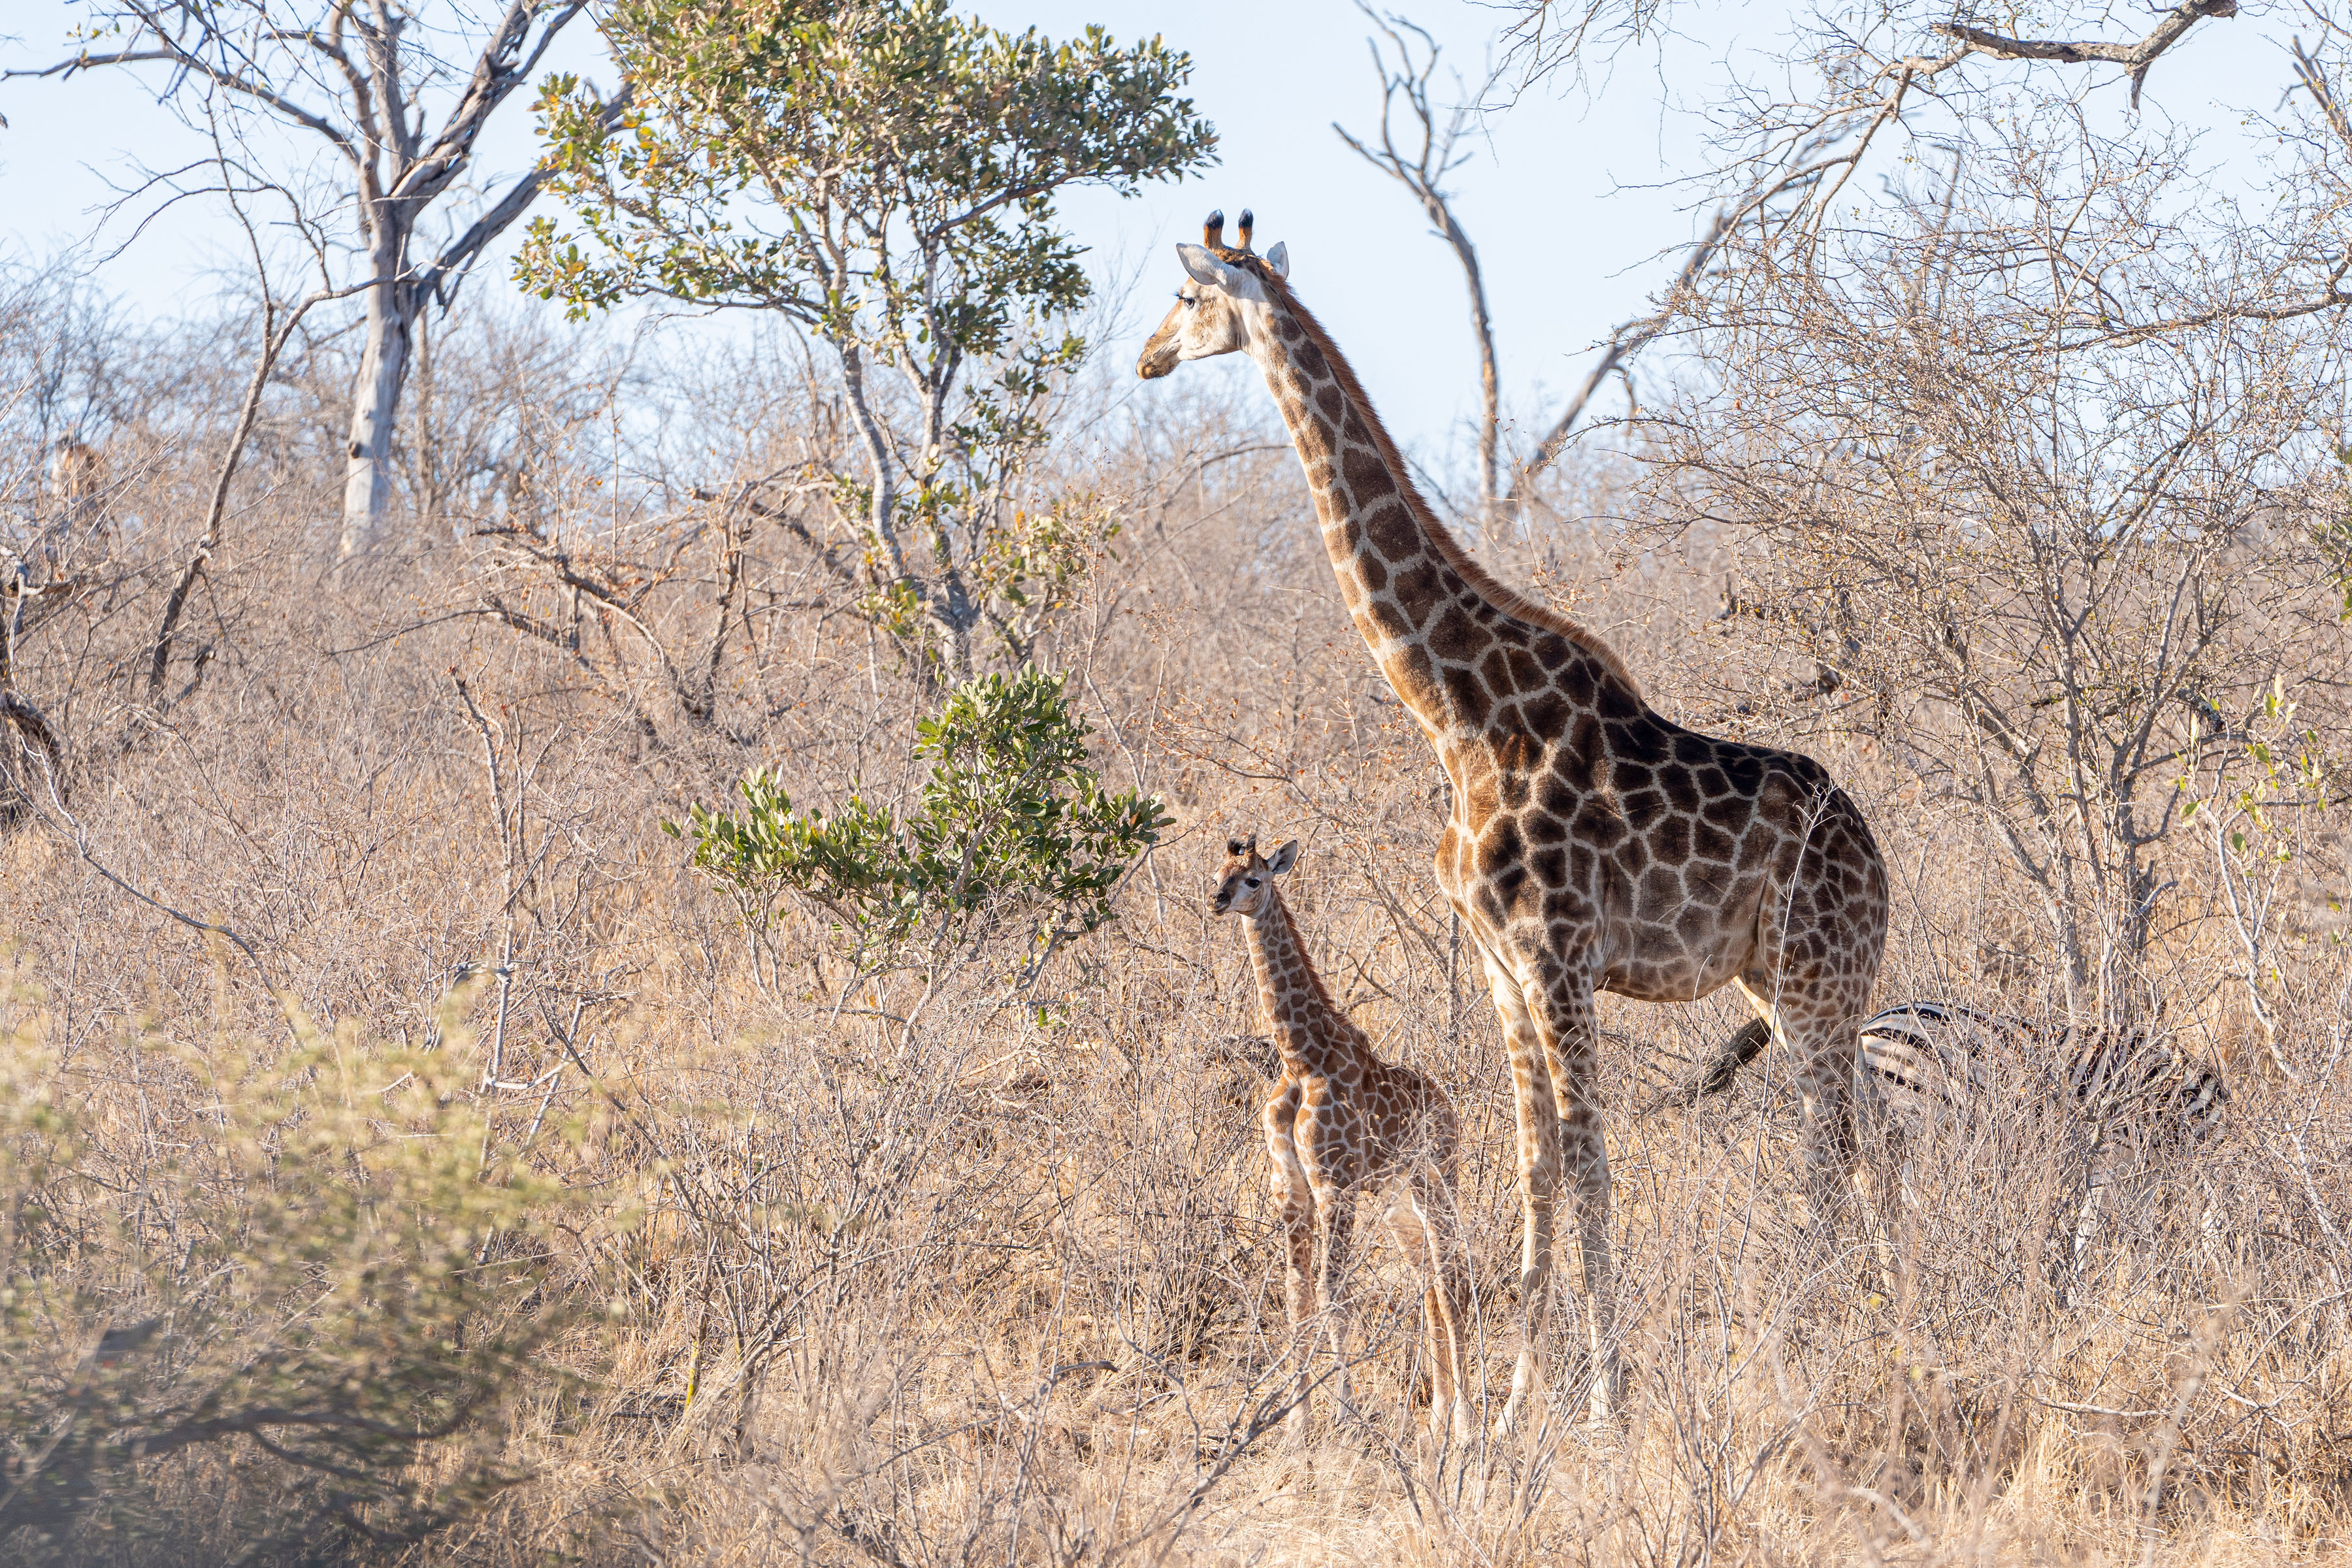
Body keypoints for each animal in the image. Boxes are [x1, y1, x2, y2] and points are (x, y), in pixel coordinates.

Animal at [1213, 835, 1473, 1446]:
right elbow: (1297, 1295)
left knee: (1450, 1279)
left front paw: (1346, 1418)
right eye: (1218, 873)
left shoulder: (1335, 1186)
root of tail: (1449, 1106)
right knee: (1428, 1282)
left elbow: (1335, 1297)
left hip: (1438, 1182)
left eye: (1254, 879)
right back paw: (1439, 1415)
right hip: (1399, 1201)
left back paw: (1469, 1426)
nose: (1218, 902)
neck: (1300, 1055)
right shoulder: (1291, 1189)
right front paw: (1296, 1427)